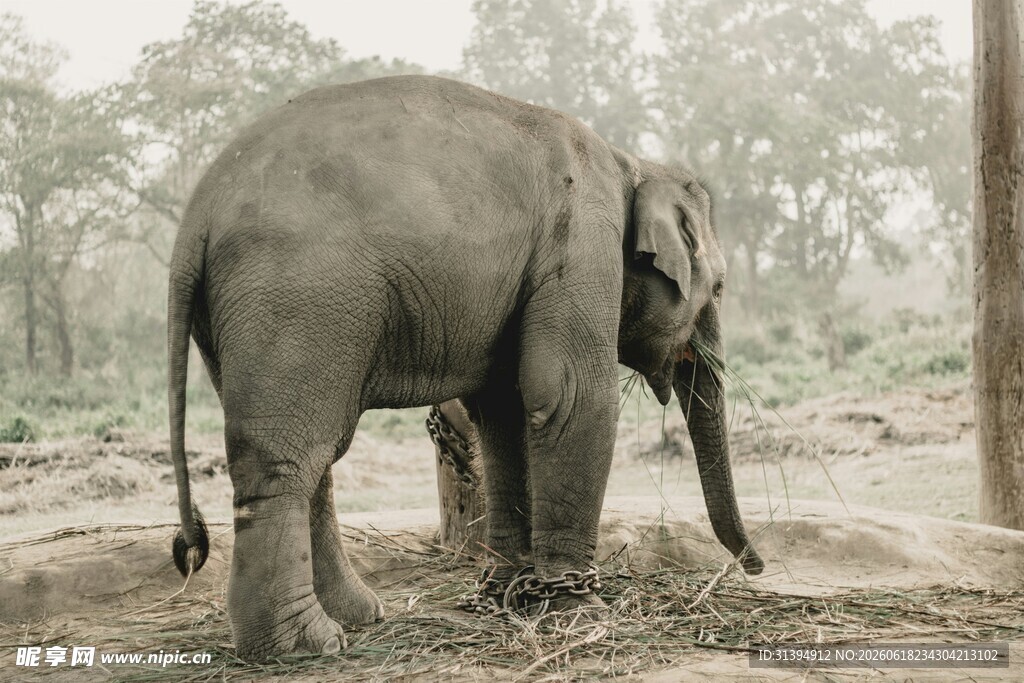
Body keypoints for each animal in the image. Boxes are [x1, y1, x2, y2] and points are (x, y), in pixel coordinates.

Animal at [167, 74, 764, 661]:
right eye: (719, 288)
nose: (754, 567)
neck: (632, 163)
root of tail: (196, 213)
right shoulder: (581, 242)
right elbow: (571, 397)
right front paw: (580, 611)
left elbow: (504, 410)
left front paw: (507, 594)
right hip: (299, 298)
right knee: (286, 458)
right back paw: (304, 646)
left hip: (242, 321)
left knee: (313, 456)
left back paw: (356, 617)